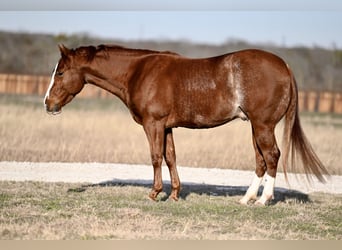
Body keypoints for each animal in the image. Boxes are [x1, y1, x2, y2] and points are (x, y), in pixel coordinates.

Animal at [43, 44, 328, 205]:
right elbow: (171, 157)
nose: (48, 103)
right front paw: (174, 194)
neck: (139, 72)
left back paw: (263, 200)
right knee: (261, 161)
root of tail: (284, 66)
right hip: (256, 127)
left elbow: (156, 157)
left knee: (271, 156)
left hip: (263, 126)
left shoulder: (153, 124)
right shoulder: (167, 127)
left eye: (60, 72)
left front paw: (154, 193)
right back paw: (246, 198)